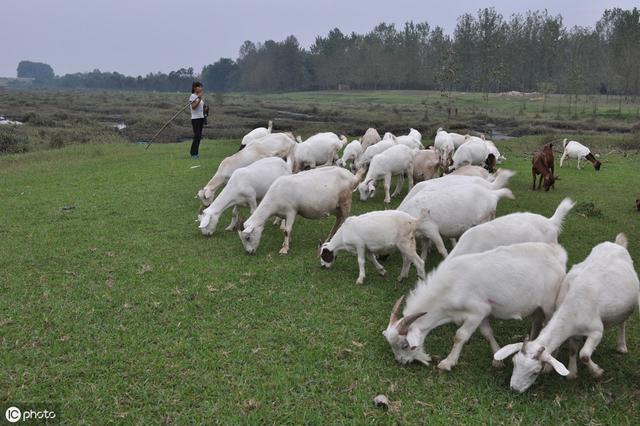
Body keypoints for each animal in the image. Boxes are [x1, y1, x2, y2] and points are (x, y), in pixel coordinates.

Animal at [382, 243, 568, 370]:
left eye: (405, 345)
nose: (402, 361)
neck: (452, 286)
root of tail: (556, 253)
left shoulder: (476, 312)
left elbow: (460, 336)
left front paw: (447, 363)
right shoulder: (484, 313)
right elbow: (487, 333)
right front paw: (497, 359)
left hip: (549, 304)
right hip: (537, 306)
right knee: (537, 321)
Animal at [496, 233, 640, 392]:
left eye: (535, 372)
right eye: (514, 362)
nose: (515, 388)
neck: (572, 308)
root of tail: (617, 244)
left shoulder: (596, 331)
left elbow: (584, 355)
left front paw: (597, 372)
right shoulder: (572, 331)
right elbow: (572, 349)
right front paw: (571, 373)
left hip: (629, 305)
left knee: (623, 322)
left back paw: (622, 346)